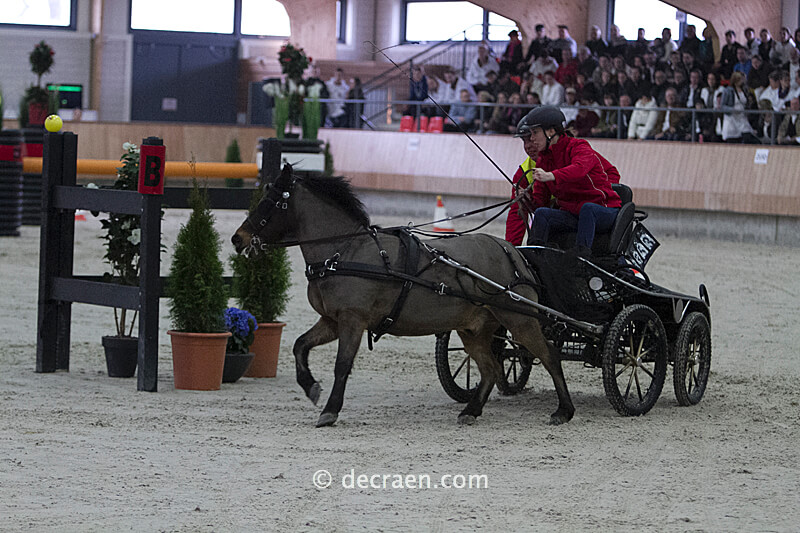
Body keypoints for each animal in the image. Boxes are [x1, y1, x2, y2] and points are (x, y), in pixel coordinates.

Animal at [231, 164, 574, 427]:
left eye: (271, 201)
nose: (238, 239)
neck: (344, 251)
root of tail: (512, 252)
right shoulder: (331, 320)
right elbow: (300, 346)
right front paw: (311, 387)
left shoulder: (352, 320)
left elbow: (342, 364)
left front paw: (330, 410)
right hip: (473, 328)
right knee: (491, 368)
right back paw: (471, 410)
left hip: (519, 320)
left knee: (549, 356)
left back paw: (564, 410)